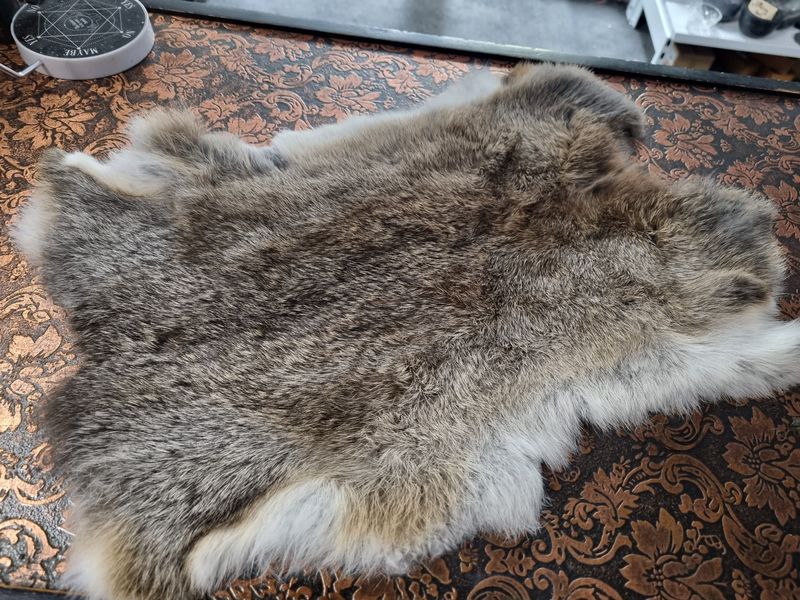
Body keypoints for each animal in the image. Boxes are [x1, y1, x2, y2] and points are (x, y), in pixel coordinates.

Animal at [11, 63, 800, 600]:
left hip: (182, 188)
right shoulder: (659, 340)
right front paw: (784, 349)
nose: (766, 227)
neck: (583, 212)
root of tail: (99, 358)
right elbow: (728, 358)